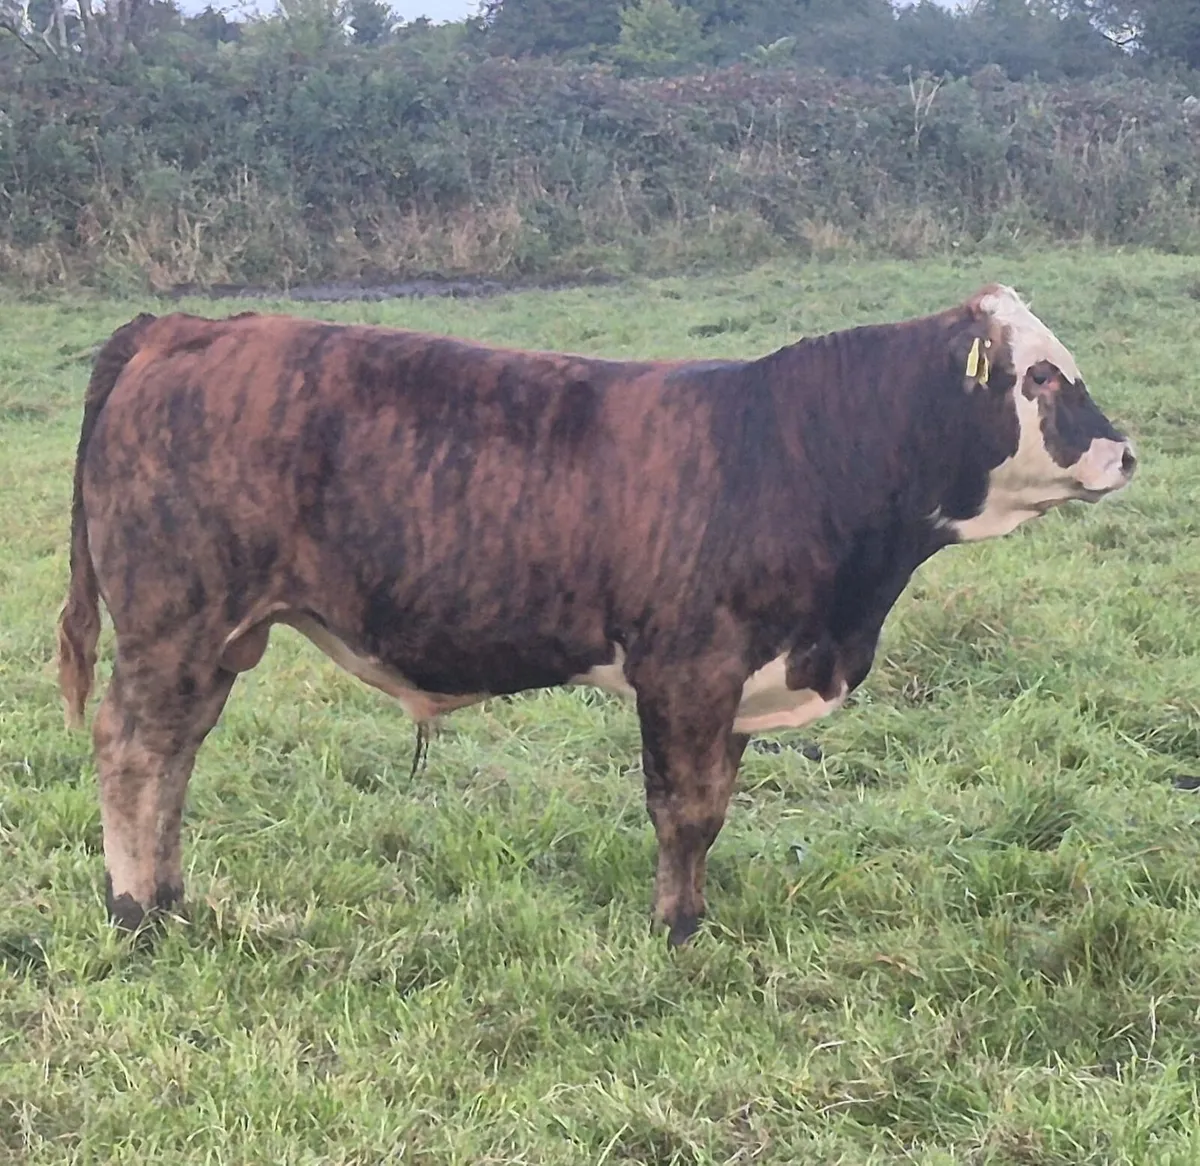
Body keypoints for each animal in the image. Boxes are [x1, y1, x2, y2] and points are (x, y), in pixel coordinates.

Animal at [55, 284, 1136, 947]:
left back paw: (171, 897)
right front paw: (676, 931)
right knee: (134, 750)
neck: (799, 451)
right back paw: (134, 912)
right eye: (1040, 376)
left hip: (217, 638)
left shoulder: (736, 683)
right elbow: (685, 809)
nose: (1125, 451)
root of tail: (180, 326)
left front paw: (693, 916)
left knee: (175, 757)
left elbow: (714, 808)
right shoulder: (688, 669)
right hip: (173, 620)